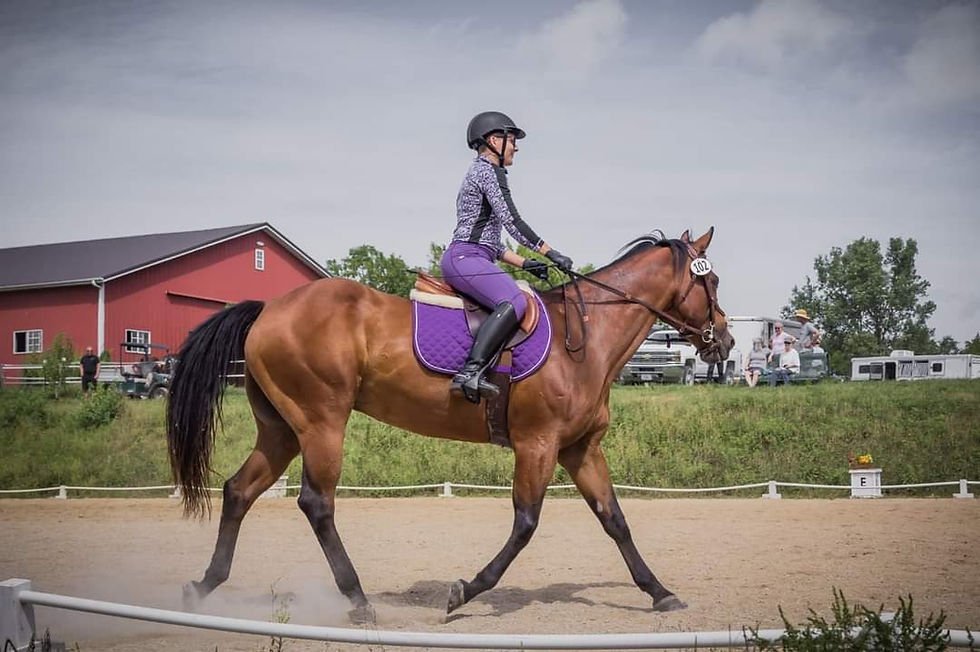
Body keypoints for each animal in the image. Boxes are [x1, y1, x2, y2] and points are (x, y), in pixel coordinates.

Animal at [166, 227, 733, 622]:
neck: (586, 340)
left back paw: (203, 586)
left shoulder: (580, 449)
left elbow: (614, 519)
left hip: (282, 430)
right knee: (316, 503)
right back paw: (358, 599)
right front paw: (465, 591)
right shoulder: (538, 444)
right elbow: (526, 524)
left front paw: (660, 593)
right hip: (321, 423)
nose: (724, 341)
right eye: (711, 281)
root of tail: (269, 309)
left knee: (239, 490)